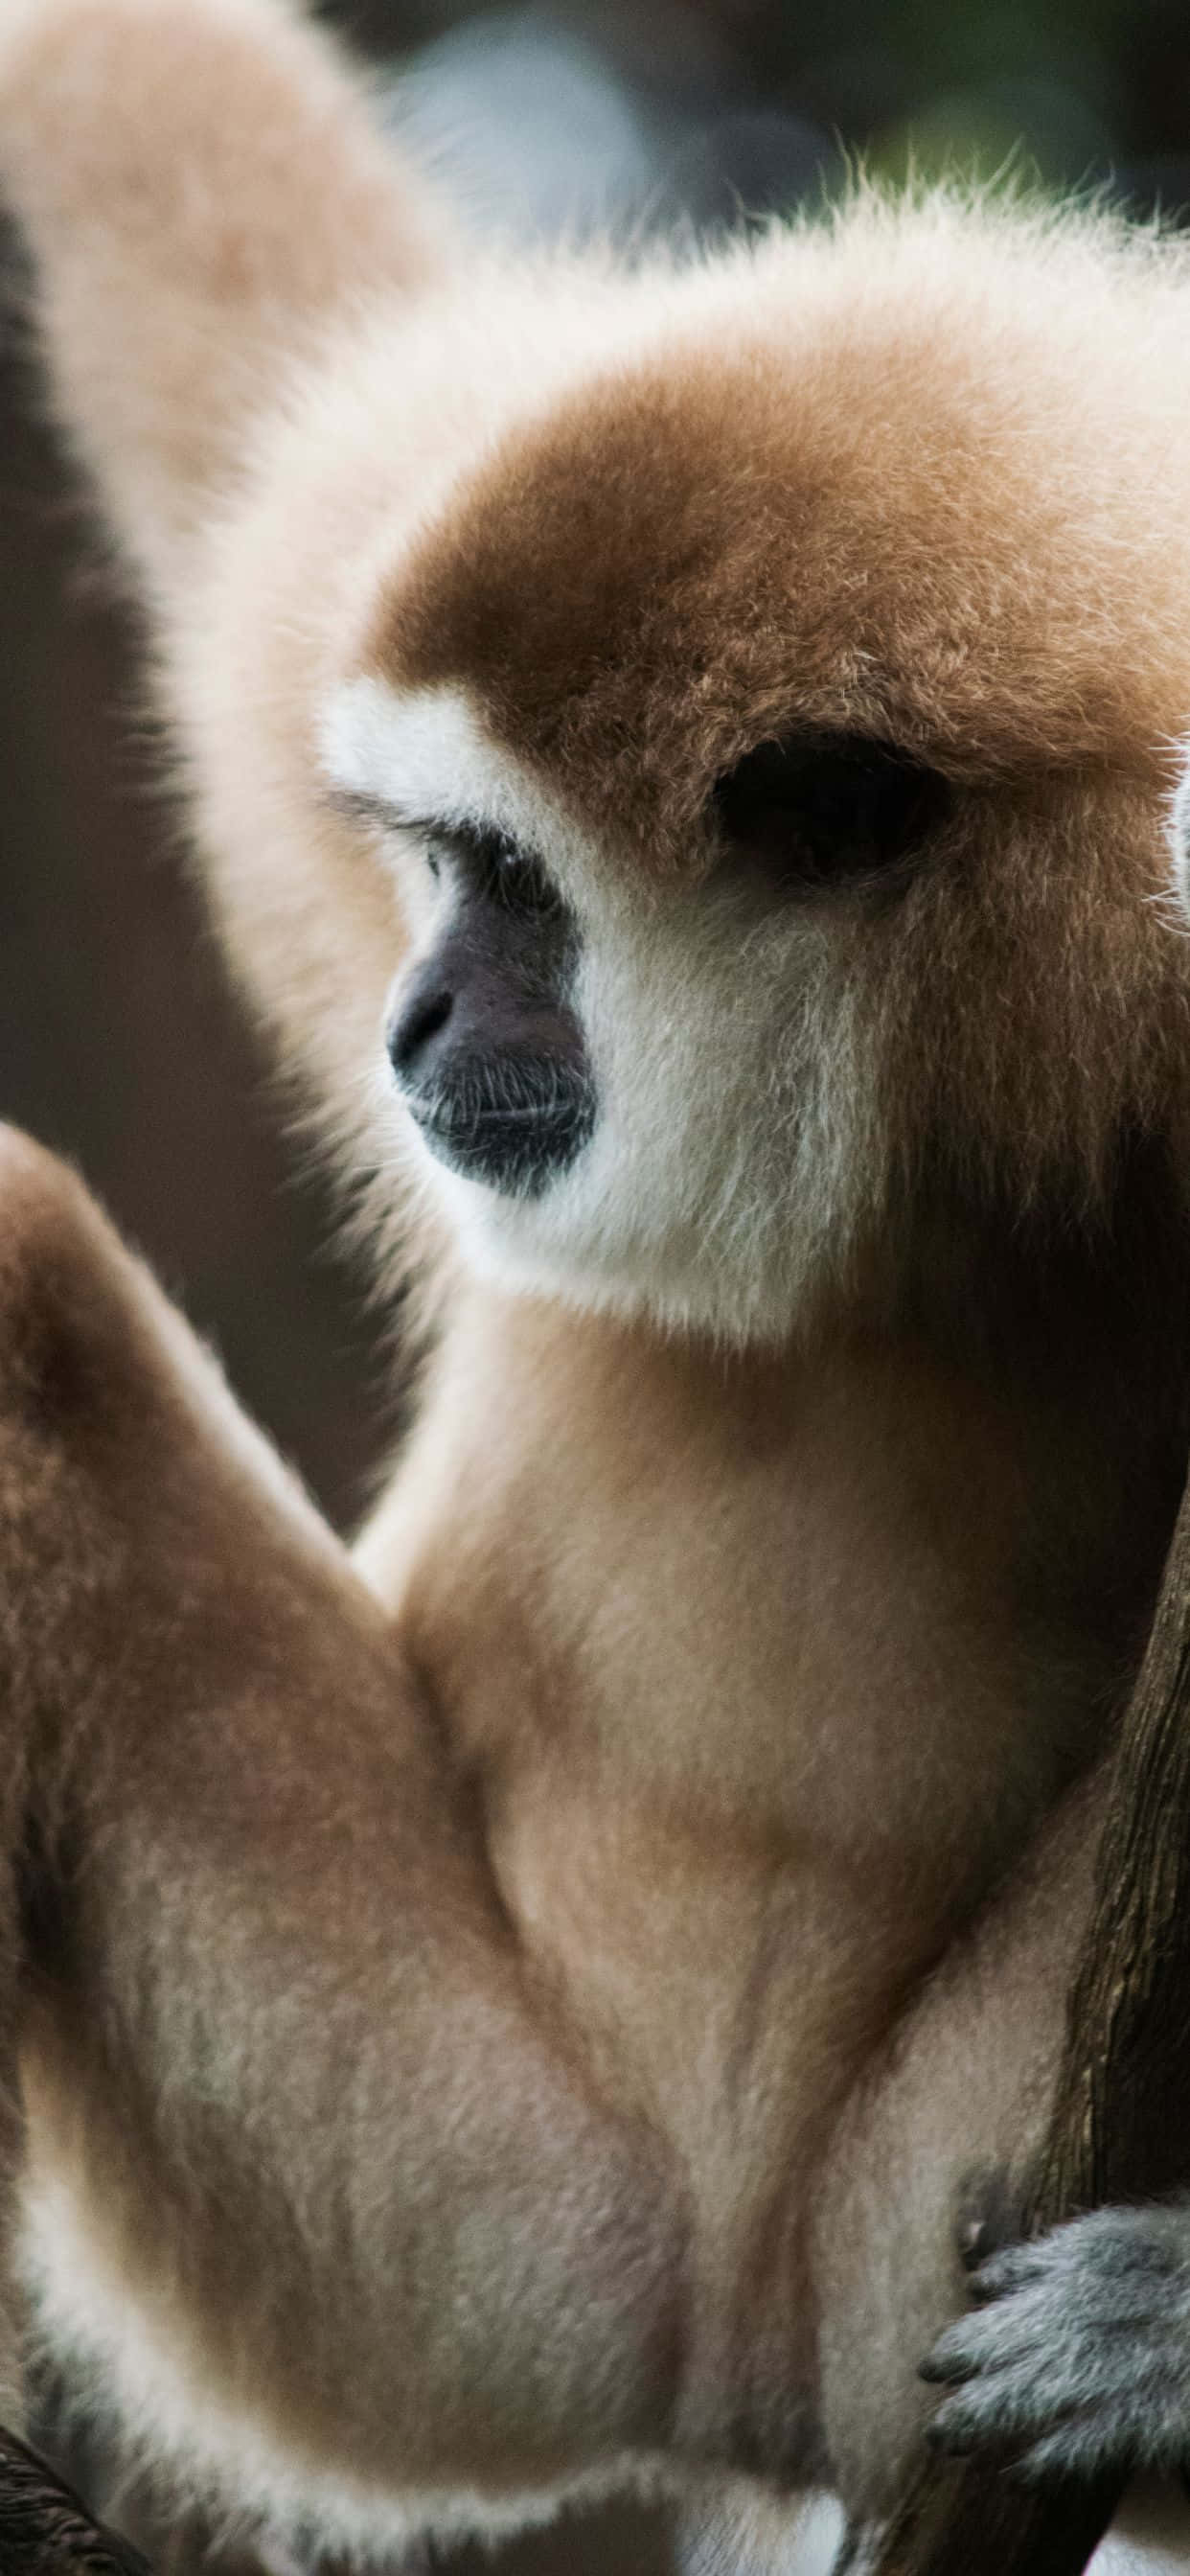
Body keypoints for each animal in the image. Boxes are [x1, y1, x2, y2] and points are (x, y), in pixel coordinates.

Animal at [4, 0, 1190, 2566]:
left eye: (508, 886)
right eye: (431, 864)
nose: (415, 1019)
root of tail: (722, 2377)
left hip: (809, 2246)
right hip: (450, 2229)